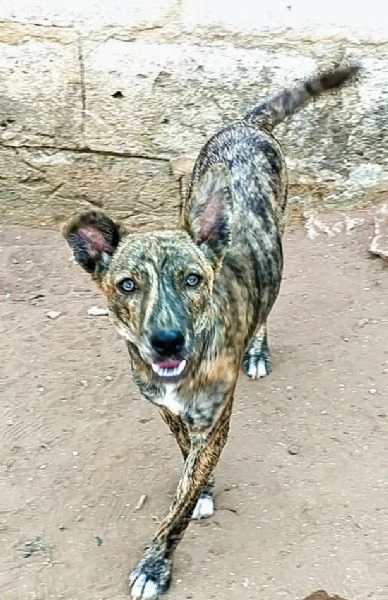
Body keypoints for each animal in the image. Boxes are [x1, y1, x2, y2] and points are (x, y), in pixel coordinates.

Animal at [61, 61, 360, 600]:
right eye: (128, 284)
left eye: (193, 279)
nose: (166, 341)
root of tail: (246, 124)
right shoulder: (169, 411)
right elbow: (186, 460)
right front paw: (201, 487)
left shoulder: (215, 420)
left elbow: (178, 506)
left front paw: (155, 564)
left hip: (279, 239)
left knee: (268, 305)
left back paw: (258, 351)